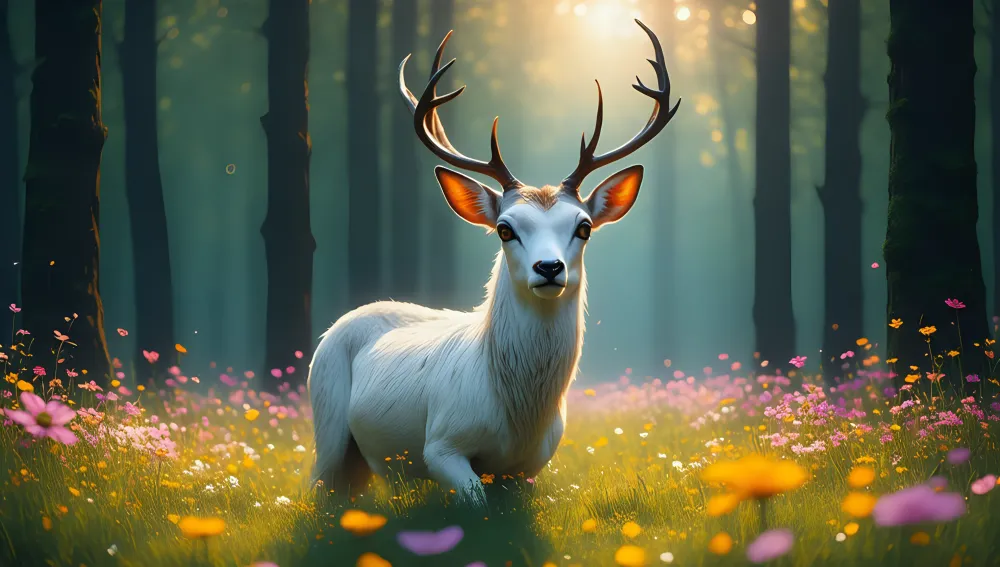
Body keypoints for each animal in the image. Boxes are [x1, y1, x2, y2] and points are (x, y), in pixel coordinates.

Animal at [308, 19, 679, 507]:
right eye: (505, 228)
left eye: (583, 227)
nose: (548, 268)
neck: (518, 418)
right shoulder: (440, 442)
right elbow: (473, 501)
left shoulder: (532, 465)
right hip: (326, 420)